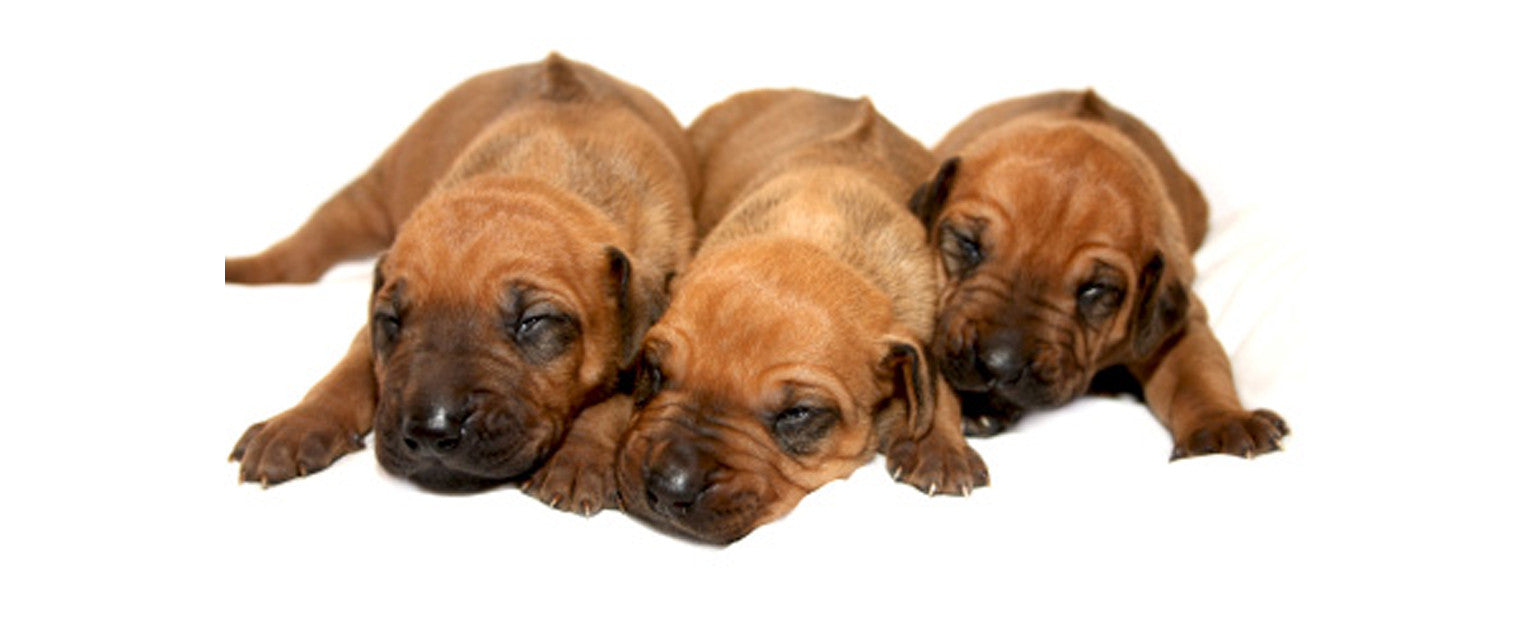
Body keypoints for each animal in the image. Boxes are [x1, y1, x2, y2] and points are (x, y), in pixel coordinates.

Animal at [223, 54, 698, 514]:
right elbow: (349, 370)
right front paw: (296, 423)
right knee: (301, 253)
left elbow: (617, 401)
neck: (540, 171)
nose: (430, 431)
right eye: (391, 321)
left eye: (534, 321)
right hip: (369, 197)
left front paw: (579, 456)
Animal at [612, 89, 986, 545]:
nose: (670, 486)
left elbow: (936, 385)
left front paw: (939, 447)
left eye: (798, 413)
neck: (817, 237)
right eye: (654, 370)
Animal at [906, 89, 1293, 459]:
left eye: (1095, 288)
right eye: (967, 244)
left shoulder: (1176, 325)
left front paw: (1223, 420)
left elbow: (1195, 371)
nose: (999, 366)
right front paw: (975, 406)